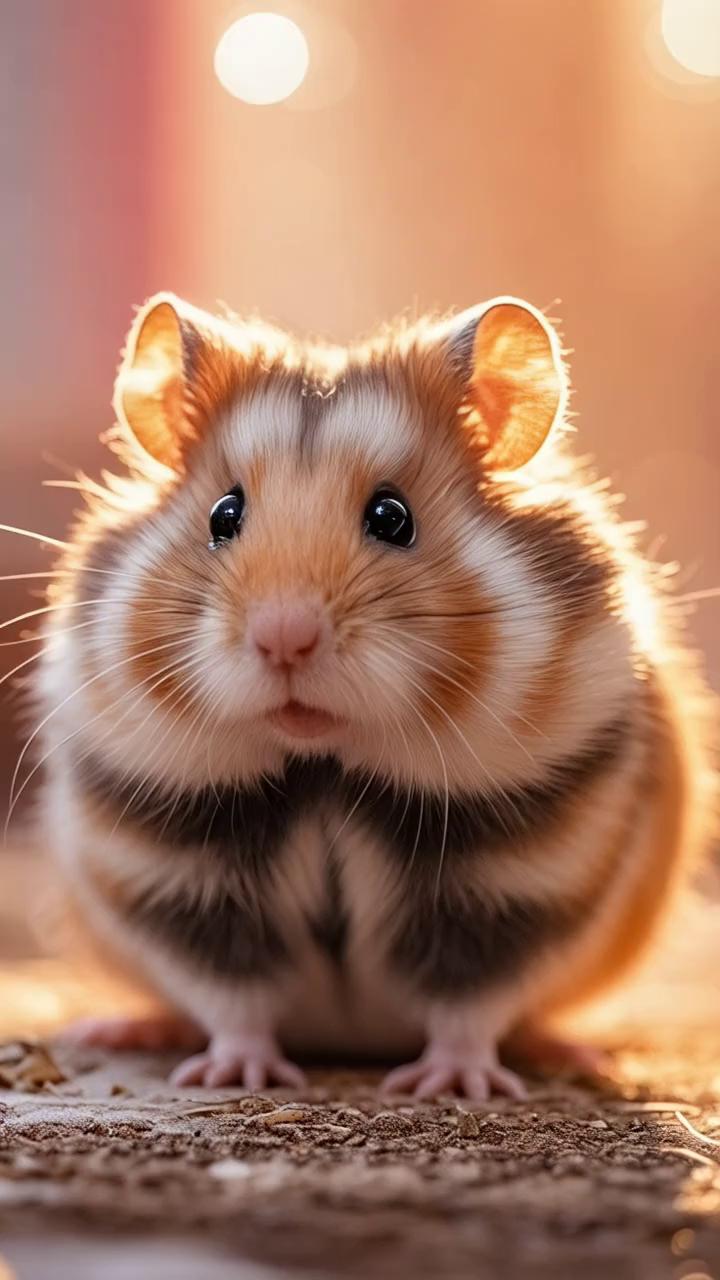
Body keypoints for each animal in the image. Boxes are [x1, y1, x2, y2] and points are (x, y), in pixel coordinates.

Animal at [29, 291, 716, 1099]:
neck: (325, 763)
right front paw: (234, 1077)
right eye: (223, 515)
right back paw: (124, 1028)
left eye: (392, 517)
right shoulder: (181, 879)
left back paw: (571, 1053)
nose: (284, 638)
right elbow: (233, 998)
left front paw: (454, 1087)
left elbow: (469, 1006)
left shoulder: (518, 883)